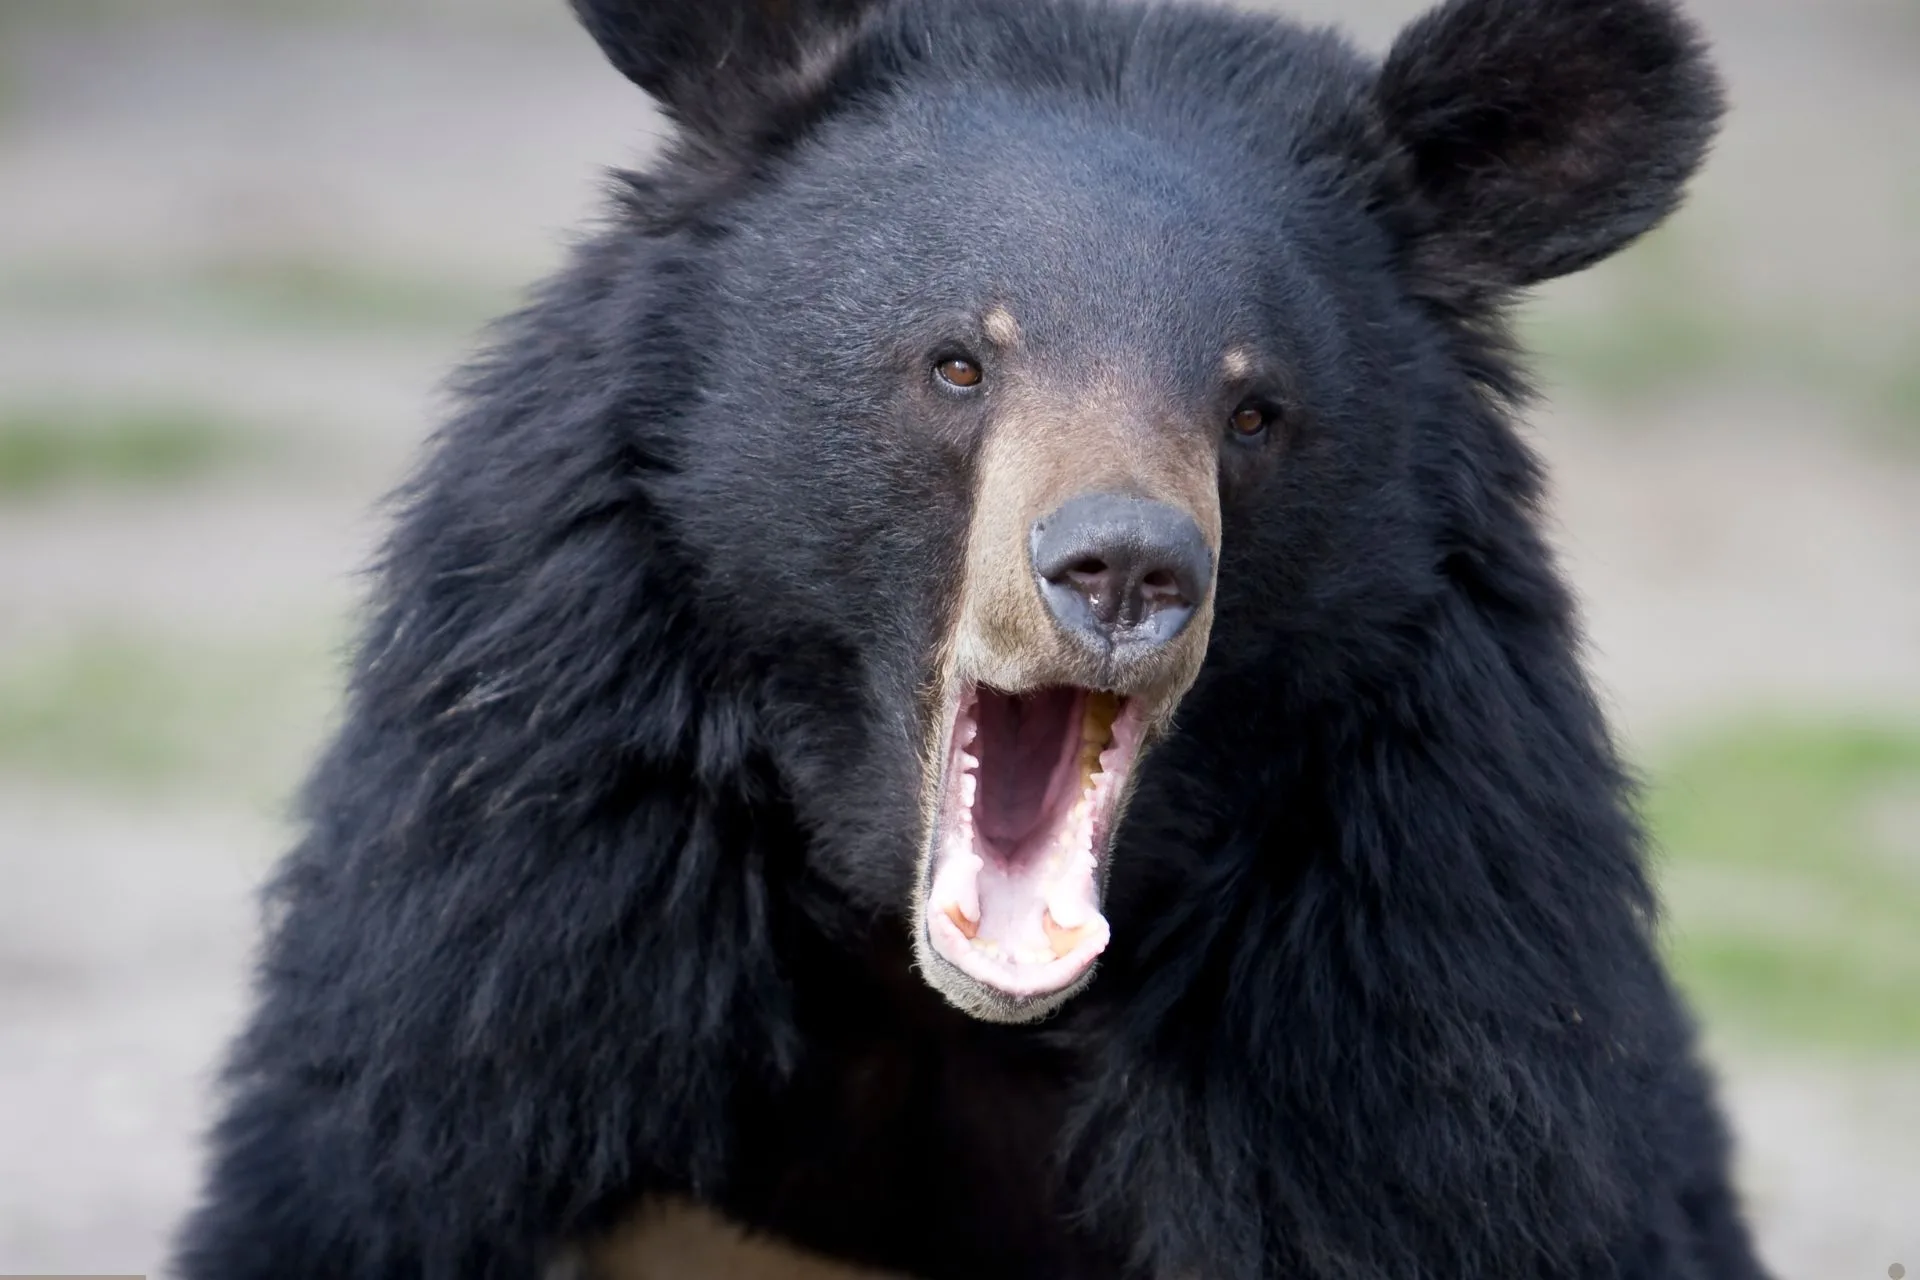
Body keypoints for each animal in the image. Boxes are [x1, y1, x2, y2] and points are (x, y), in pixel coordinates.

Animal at [174, 0, 1771, 1277]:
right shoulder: (521, 918)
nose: (1124, 570)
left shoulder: (1405, 977)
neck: (950, 1000)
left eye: (1255, 411)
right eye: (957, 362)